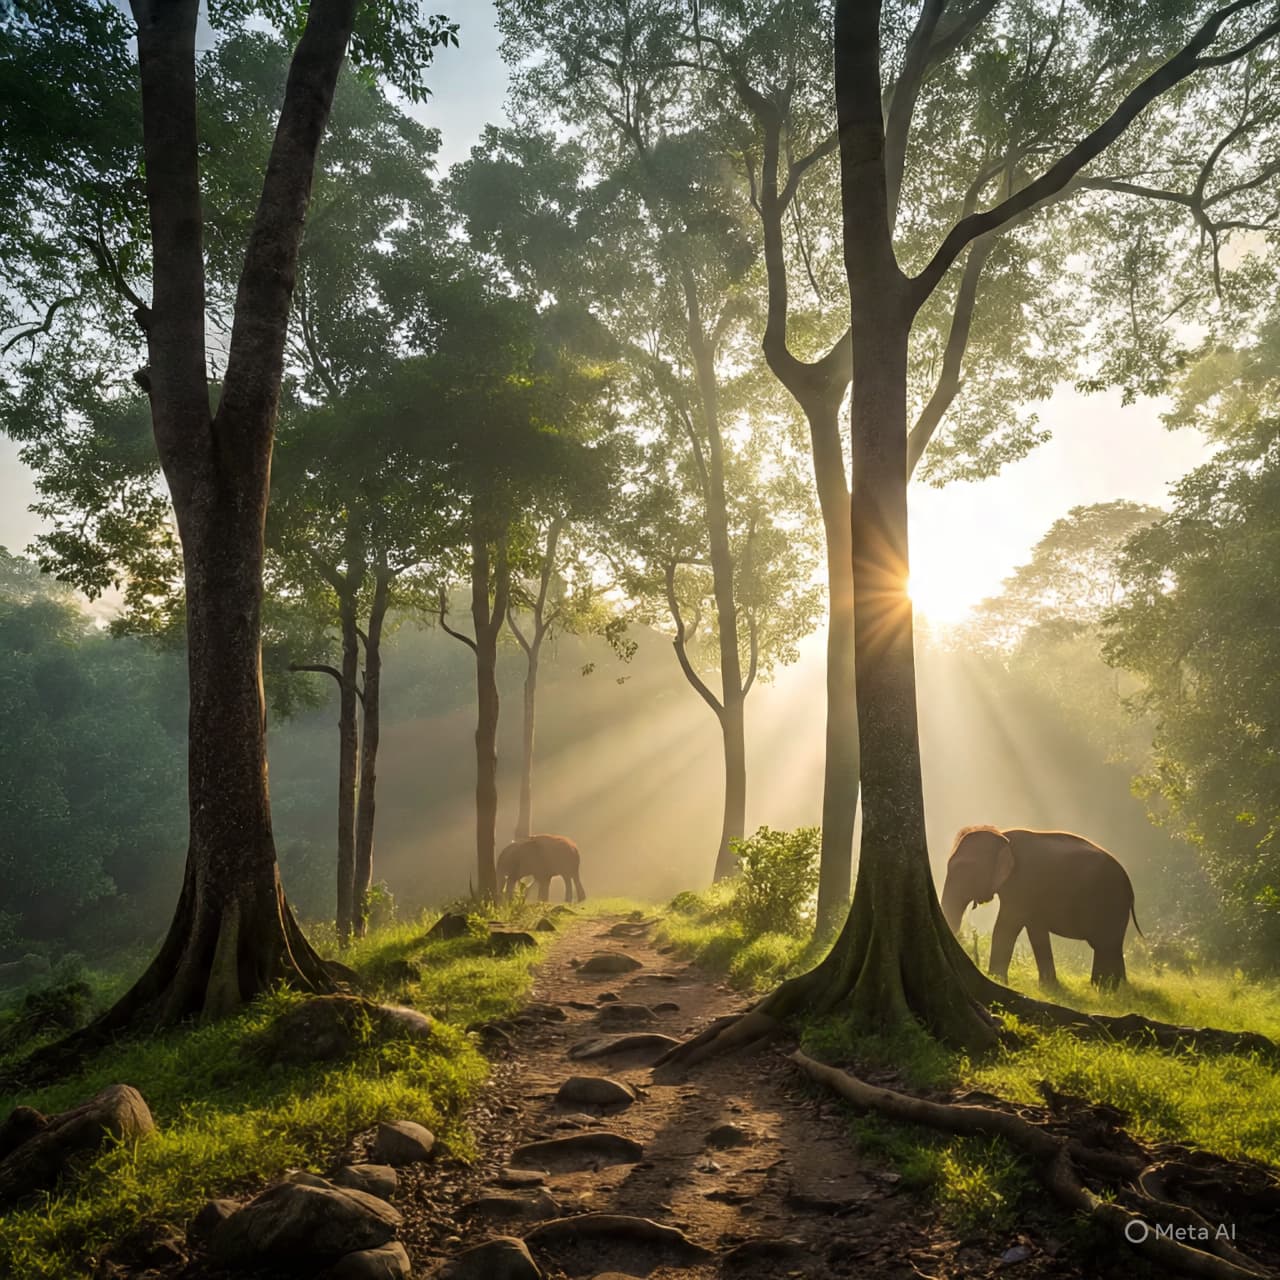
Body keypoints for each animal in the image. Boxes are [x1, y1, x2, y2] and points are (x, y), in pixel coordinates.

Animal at [940, 825, 1142, 987]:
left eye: (964, 869)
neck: (1002, 835)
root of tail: (1130, 887)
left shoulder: (1021, 883)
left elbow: (1006, 927)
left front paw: (998, 980)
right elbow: (1036, 931)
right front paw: (1049, 986)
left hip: (1111, 903)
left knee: (1106, 945)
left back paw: (1107, 987)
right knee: (1109, 946)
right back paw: (1110, 987)